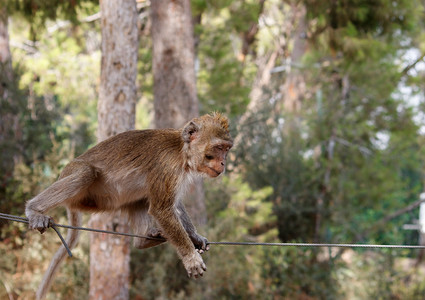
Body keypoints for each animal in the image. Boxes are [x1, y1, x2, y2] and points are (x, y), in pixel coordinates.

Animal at [24, 113, 232, 300]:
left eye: (226, 149)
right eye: (218, 147)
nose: (223, 163)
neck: (181, 150)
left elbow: (173, 204)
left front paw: (195, 236)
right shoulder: (167, 166)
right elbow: (162, 209)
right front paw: (190, 257)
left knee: (140, 196)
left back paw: (144, 240)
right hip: (76, 179)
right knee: (86, 173)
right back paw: (34, 209)